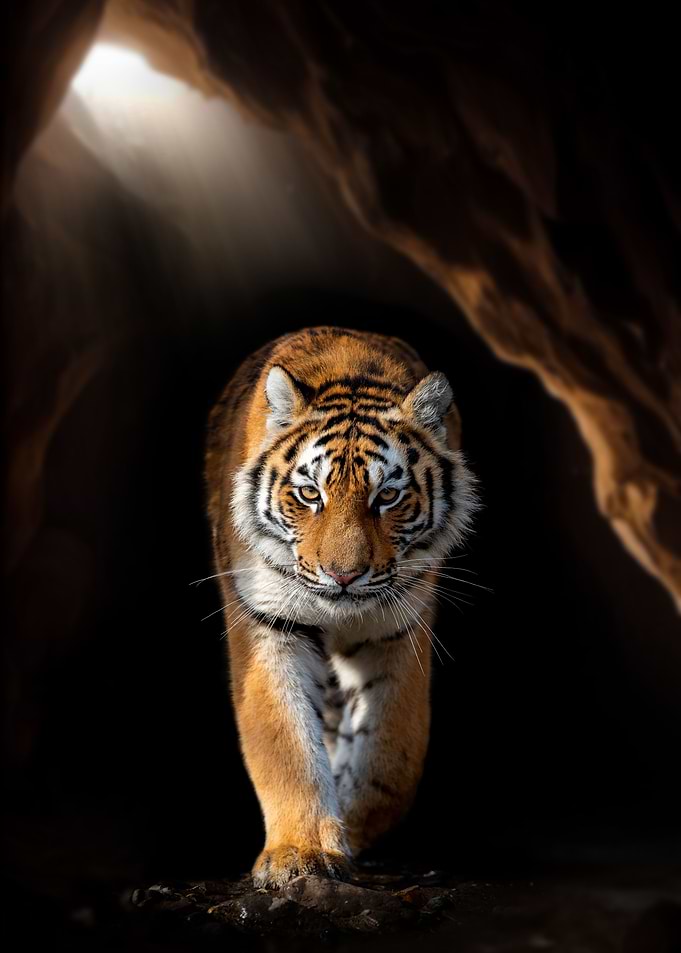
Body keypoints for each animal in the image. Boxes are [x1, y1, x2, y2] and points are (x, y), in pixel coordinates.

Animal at [204, 326, 479, 887]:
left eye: (388, 496)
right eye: (310, 494)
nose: (343, 575)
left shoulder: (398, 626)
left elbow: (392, 752)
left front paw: (353, 829)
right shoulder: (270, 625)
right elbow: (285, 745)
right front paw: (302, 853)